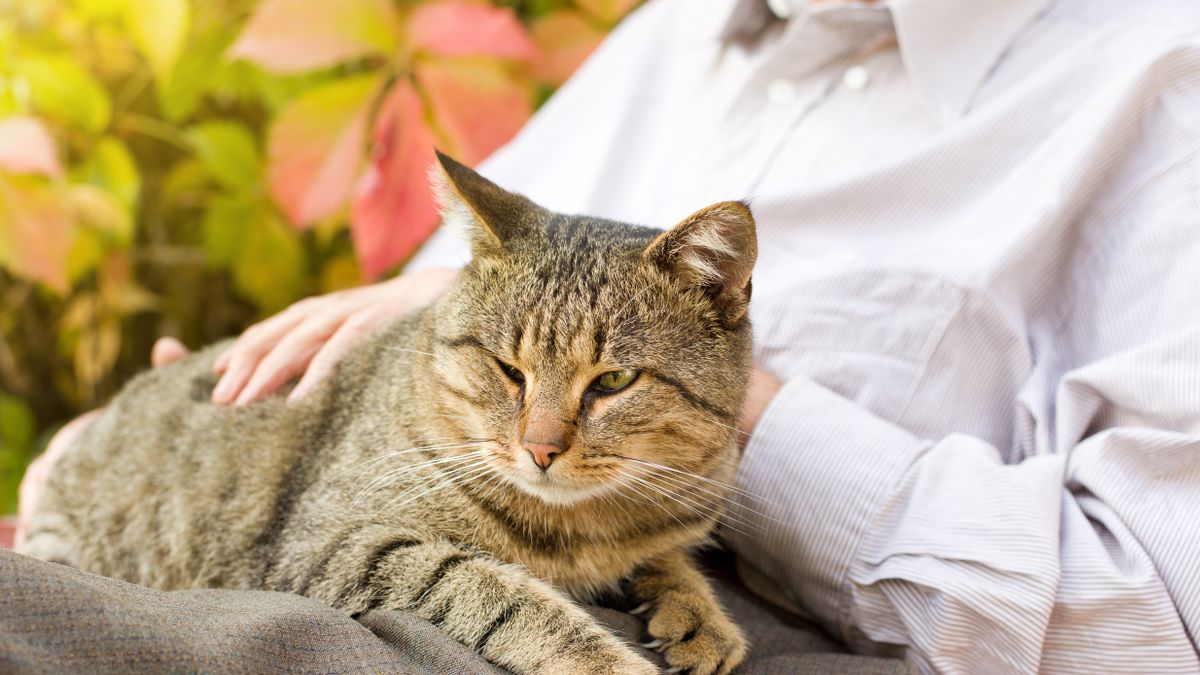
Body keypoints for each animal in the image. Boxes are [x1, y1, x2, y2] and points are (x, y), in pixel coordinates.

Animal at [23, 152, 758, 672]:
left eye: (613, 379)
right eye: (508, 369)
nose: (541, 449)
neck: (583, 528)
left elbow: (669, 557)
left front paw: (698, 611)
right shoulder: (335, 543)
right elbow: (501, 593)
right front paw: (609, 659)